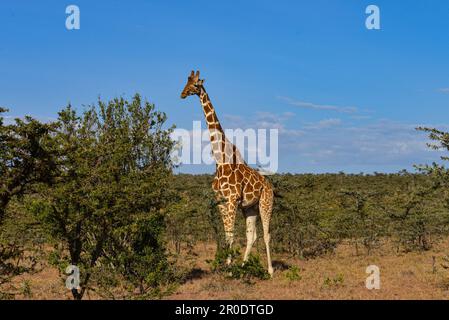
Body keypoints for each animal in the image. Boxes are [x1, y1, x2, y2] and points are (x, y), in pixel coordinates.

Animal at [180, 71, 274, 276]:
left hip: (266, 203)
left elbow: (231, 235)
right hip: (250, 208)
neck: (220, 161)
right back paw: (243, 266)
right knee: (252, 235)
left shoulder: (232, 200)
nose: (182, 94)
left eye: (195, 84)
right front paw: (227, 266)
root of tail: (270, 185)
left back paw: (270, 270)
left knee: (266, 234)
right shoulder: (222, 202)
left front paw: (229, 269)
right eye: (185, 82)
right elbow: (227, 235)